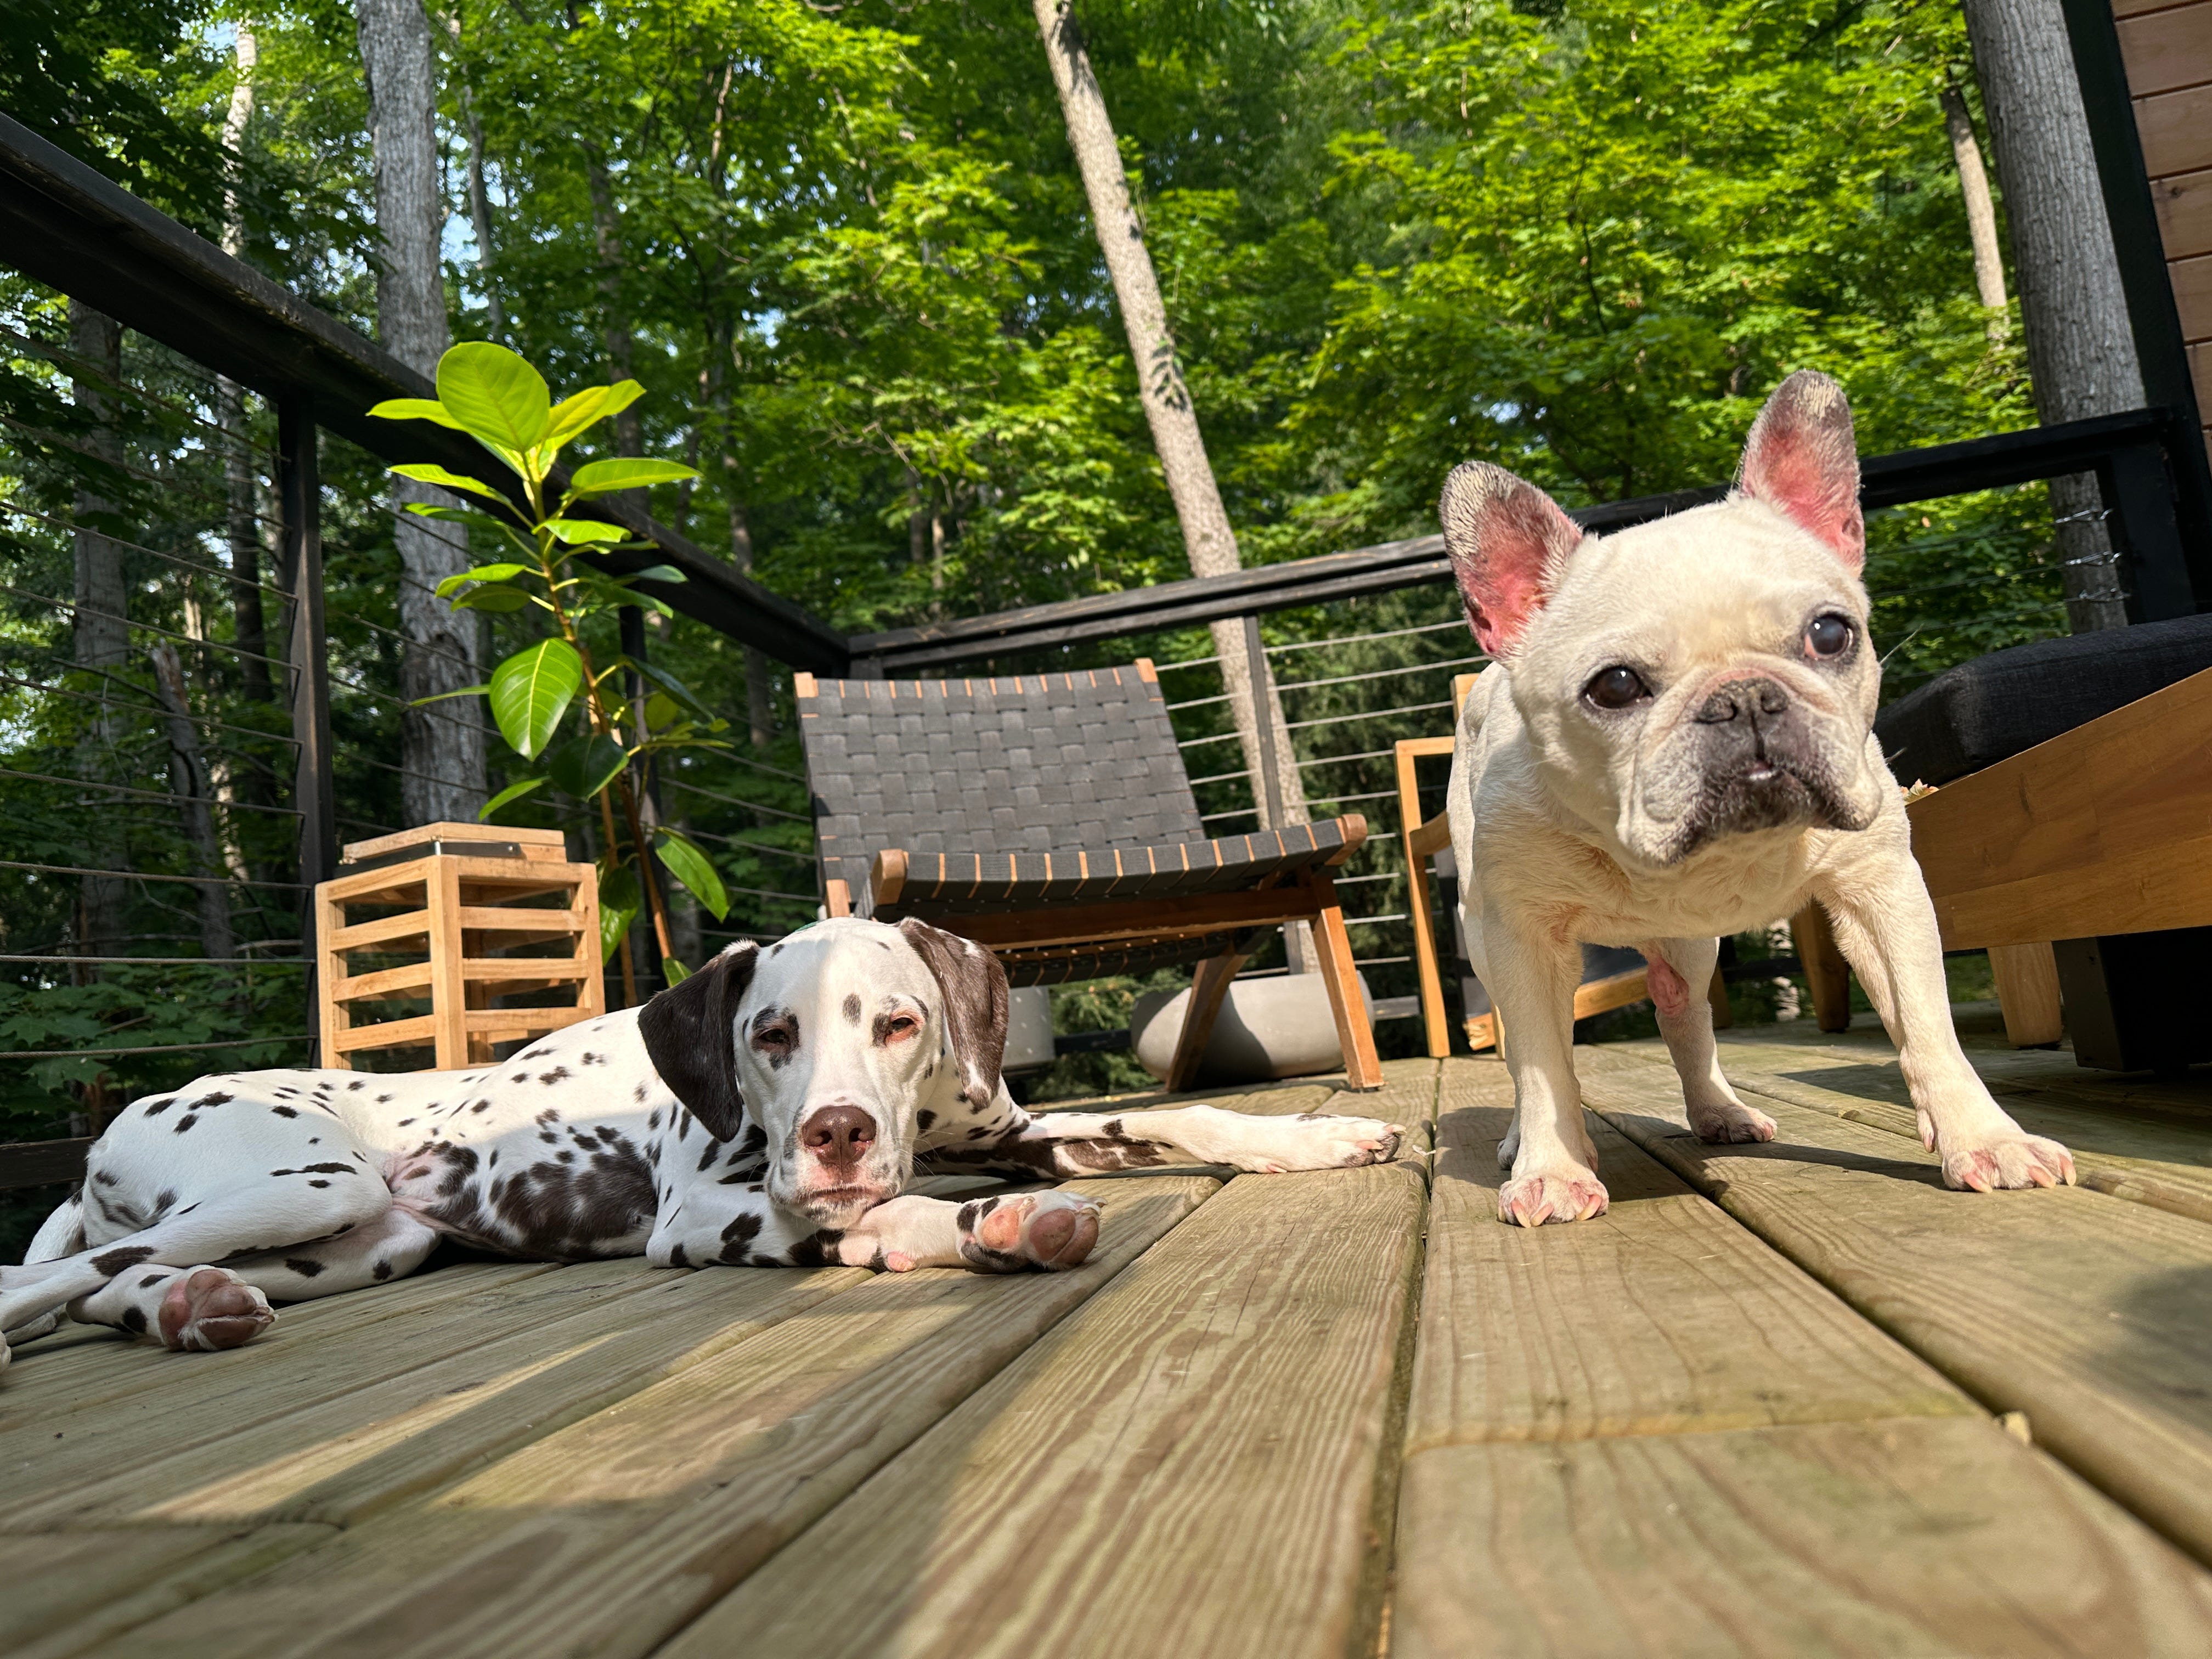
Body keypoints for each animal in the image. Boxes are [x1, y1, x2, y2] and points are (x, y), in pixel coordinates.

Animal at [0, 916, 1403, 1366]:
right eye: (771, 1034)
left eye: (900, 1024)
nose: (836, 1131)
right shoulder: (707, 1210)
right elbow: (865, 1217)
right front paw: (977, 1227)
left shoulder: (1014, 1124)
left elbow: (1168, 1116)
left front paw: (1321, 1138)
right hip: (307, 1182)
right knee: (48, 1280)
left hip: (358, 1242)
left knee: (112, 1286)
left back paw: (188, 1309)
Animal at [1441, 370, 2075, 1227]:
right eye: (1615, 687)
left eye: (1831, 634)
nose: (1742, 697)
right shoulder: (1525, 937)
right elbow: (1542, 1065)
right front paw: (1553, 1166)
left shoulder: (1882, 894)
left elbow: (1929, 1028)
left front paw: (1986, 1139)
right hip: (1485, 931)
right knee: (1524, 1051)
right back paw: (1521, 1140)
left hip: (1691, 948)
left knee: (1687, 1019)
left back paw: (1720, 1110)